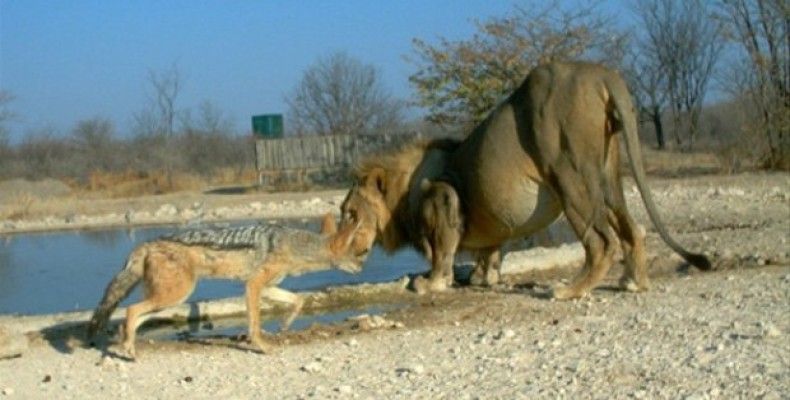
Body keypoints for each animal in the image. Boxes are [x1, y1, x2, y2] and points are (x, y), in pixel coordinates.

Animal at [340, 61, 712, 300]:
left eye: (349, 212)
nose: (335, 246)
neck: (400, 196)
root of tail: (600, 74)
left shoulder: (443, 195)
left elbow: (442, 252)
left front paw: (430, 283)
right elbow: (489, 251)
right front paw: (483, 277)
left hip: (569, 175)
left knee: (601, 241)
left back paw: (569, 291)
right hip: (606, 176)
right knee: (633, 229)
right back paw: (633, 283)